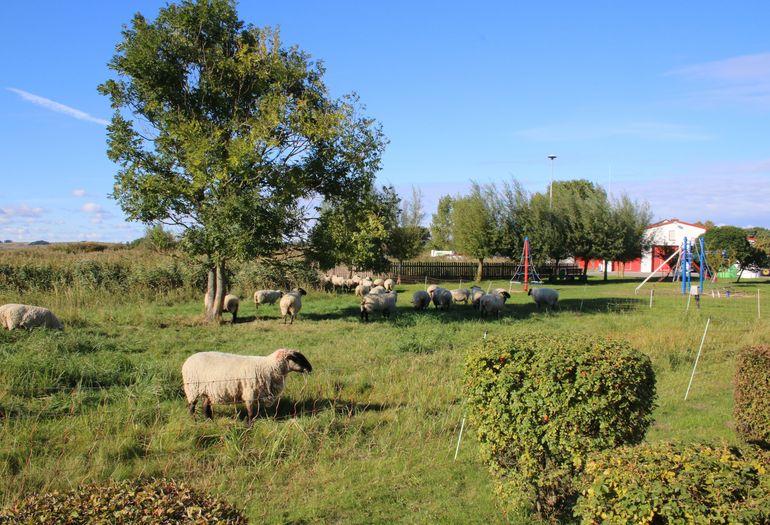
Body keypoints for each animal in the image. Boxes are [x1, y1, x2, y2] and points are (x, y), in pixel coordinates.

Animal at [182, 349, 312, 424]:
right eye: (297, 358)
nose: (311, 368)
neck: (268, 367)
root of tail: (188, 360)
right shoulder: (250, 393)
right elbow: (250, 411)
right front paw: (250, 424)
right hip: (192, 389)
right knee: (191, 406)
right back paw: (194, 421)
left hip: (208, 390)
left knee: (205, 405)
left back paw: (210, 420)